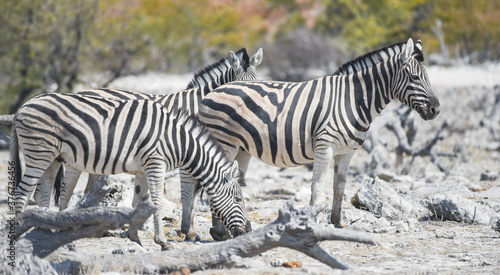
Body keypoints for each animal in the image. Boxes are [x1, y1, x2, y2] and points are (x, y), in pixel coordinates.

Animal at [11, 92, 252, 250]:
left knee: (42, 193)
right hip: (39, 154)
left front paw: (134, 237)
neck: (178, 141)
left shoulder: (142, 171)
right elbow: (156, 202)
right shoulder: (156, 164)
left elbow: (138, 201)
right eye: (238, 199)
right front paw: (162, 242)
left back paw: (45, 234)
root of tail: (22, 107)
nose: (249, 230)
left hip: (52, 159)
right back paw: (18, 235)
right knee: (22, 194)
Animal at [197, 37, 440, 230]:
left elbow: (339, 187)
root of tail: (212, 91)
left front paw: (337, 223)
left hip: (240, 148)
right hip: (223, 142)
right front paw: (312, 223)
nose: (436, 110)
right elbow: (317, 187)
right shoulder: (325, 147)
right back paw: (217, 232)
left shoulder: (347, 152)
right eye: (415, 78)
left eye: (427, 77)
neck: (353, 99)